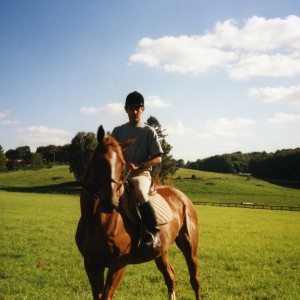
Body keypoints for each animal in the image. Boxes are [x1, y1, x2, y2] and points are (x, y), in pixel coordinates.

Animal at [75, 125, 202, 298]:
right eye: (99, 160)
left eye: (122, 164)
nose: (110, 203)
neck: (96, 220)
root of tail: (182, 197)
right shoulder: (91, 263)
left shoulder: (118, 264)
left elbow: (107, 295)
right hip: (160, 251)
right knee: (170, 276)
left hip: (189, 245)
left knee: (194, 279)